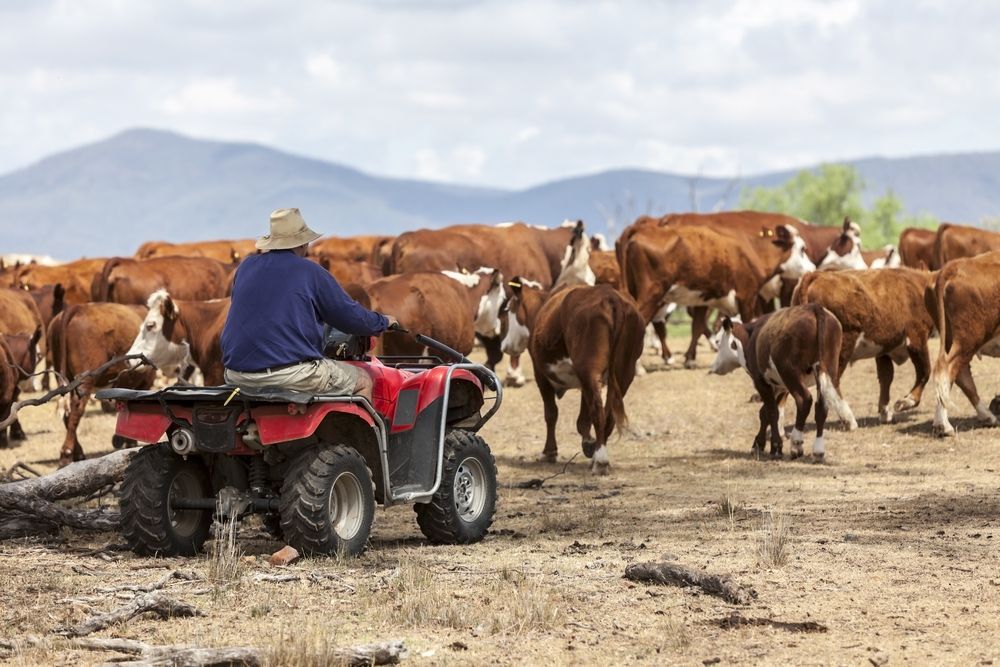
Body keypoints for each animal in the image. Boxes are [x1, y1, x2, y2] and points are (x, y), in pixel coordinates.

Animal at [47, 303, 156, 465]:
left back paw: (78, 453)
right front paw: (130, 442)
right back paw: (67, 453)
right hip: (84, 380)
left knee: (67, 414)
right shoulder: (144, 383)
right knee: (75, 411)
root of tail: (76, 308)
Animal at [500, 281, 644, 474]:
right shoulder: (584, 383)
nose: (504, 345)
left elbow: (551, 414)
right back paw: (598, 452)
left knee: (597, 410)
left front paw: (549, 452)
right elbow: (583, 419)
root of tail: (610, 297)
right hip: (623, 372)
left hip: (589, 368)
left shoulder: (541, 374)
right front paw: (588, 442)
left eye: (508, 310)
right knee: (609, 414)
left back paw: (600, 460)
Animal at [709, 304, 857, 460]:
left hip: (791, 373)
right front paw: (759, 444)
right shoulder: (780, 386)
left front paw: (775, 447)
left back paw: (796, 444)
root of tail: (815, 308)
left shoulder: (761, 382)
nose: (713, 367)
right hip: (827, 370)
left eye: (718, 342)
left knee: (804, 400)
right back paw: (818, 450)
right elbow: (766, 412)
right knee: (822, 406)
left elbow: (772, 412)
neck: (751, 337)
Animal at [792, 268, 934, 425]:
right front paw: (906, 401)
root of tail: (815, 275)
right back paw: (848, 419)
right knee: (831, 382)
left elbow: (886, 377)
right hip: (841, 348)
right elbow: (925, 372)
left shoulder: (884, 348)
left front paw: (885, 412)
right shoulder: (917, 339)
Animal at [925, 251, 1000, 437]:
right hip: (968, 338)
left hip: (951, 338)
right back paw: (944, 425)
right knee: (948, 369)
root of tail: (951, 267)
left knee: (960, 375)